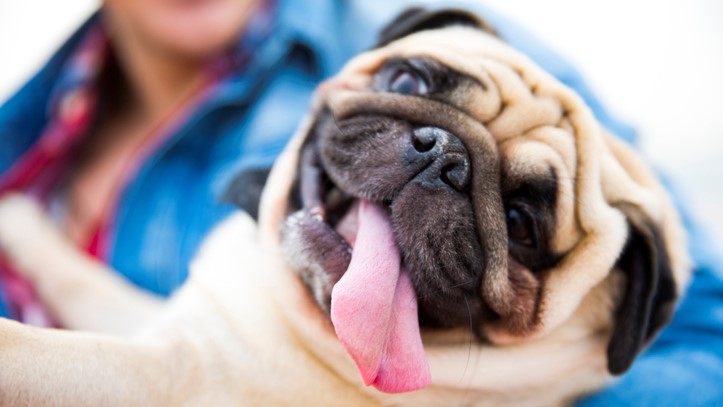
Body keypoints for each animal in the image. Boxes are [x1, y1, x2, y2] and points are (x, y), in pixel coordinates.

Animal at [0, 7, 692, 407]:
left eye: (522, 225)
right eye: (409, 80)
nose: (444, 155)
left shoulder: (170, 374)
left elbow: (32, 348)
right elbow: (77, 275)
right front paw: (19, 221)